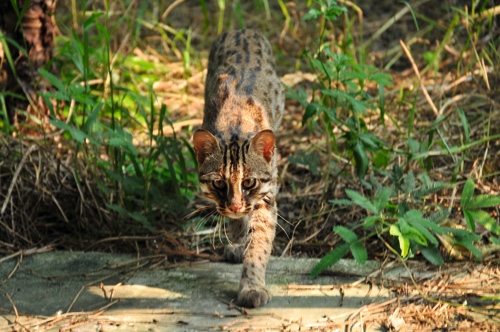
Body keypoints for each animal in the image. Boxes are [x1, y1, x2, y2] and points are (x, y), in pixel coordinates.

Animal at [192, 29, 284, 308]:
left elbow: (259, 243)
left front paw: (252, 284)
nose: (234, 206)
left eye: (249, 182)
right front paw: (239, 239)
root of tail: (242, 29)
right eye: (218, 184)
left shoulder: (265, 195)